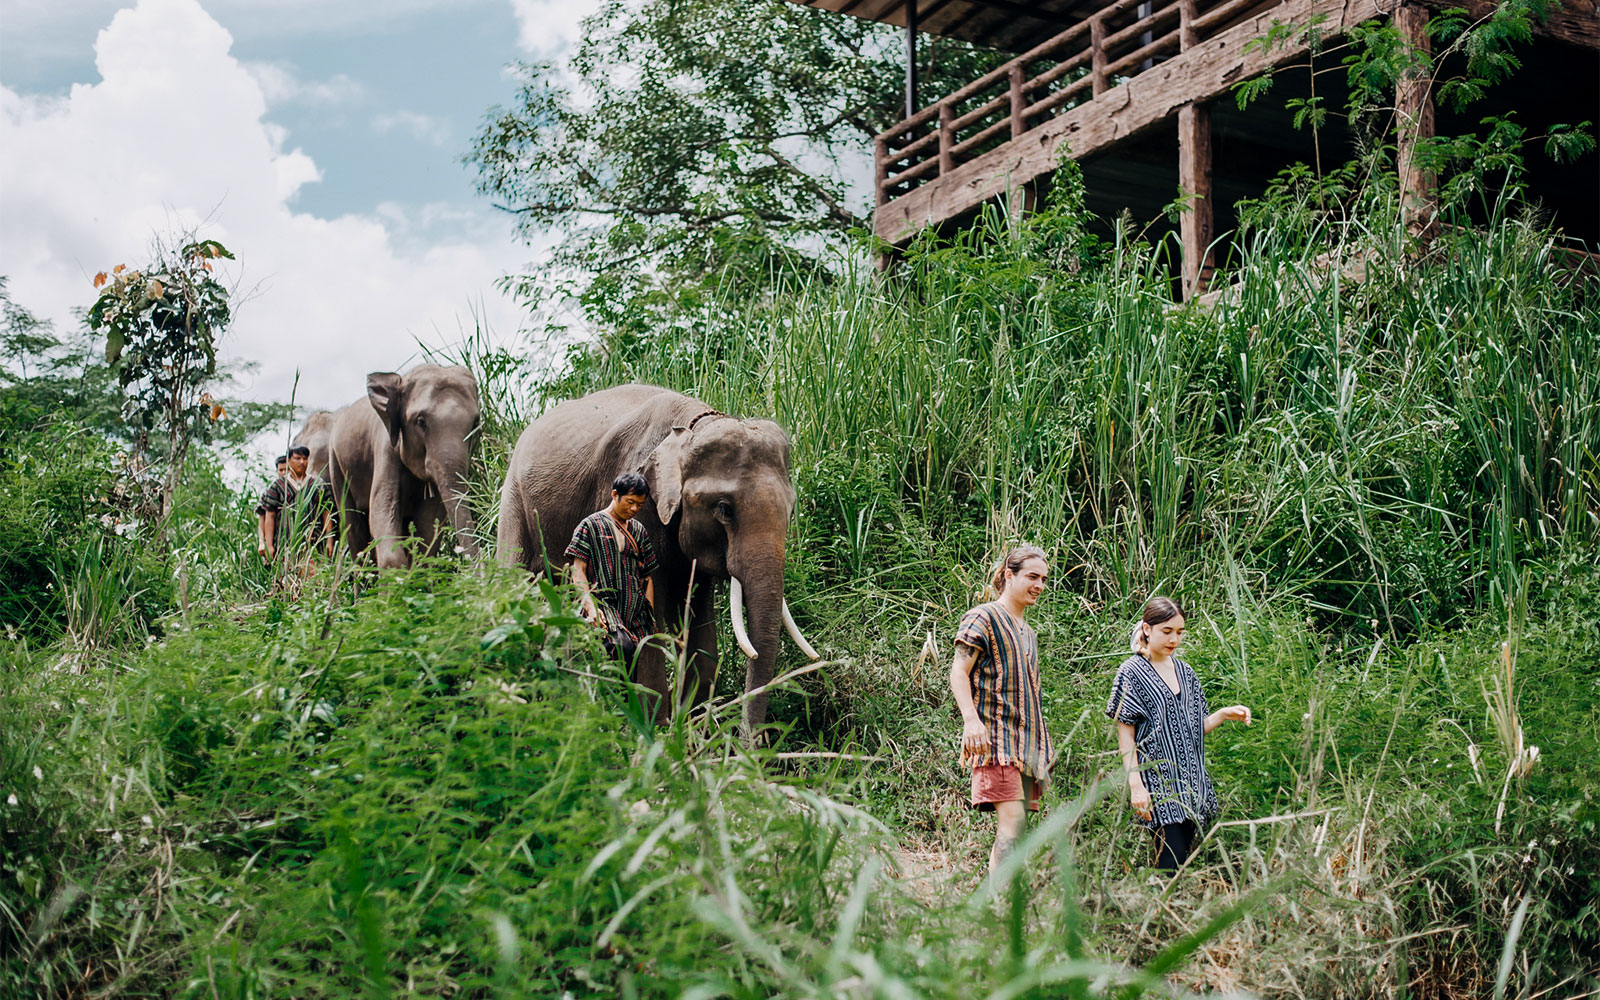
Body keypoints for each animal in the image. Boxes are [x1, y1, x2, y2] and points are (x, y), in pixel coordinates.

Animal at [326, 364, 482, 569]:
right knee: (353, 526)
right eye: (420, 422)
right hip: (335, 463)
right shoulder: (385, 450)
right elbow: (381, 512)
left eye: (475, 424)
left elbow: (429, 523)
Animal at [496, 384, 819, 733]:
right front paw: (657, 728)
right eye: (724, 508)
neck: (691, 428)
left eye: (791, 509)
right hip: (513, 501)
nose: (748, 741)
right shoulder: (642, 502)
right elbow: (651, 607)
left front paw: (693, 727)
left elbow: (698, 616)